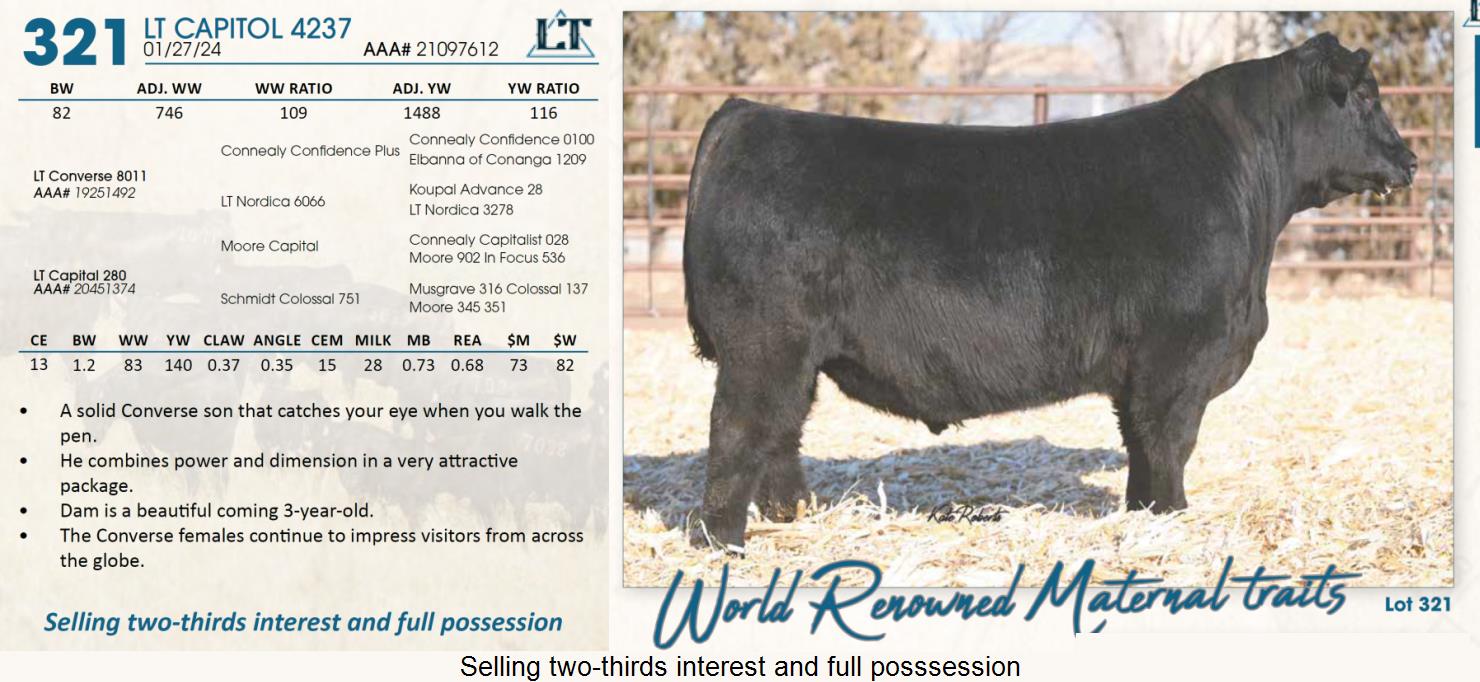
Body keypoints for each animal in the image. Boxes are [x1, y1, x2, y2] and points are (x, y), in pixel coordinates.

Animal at [681, 33, 1418, 551]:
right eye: (1366, 97)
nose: (1409, 160)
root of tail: (745, 115)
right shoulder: (1179, 356)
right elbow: (1170, 444)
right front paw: (1173, 518)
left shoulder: (1143, 371)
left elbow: (1140, 447)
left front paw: (1142, 514)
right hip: (763, 348)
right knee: (739, 431)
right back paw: (726, 543)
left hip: (793, 358)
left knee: (781, 434)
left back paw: (791, 518)